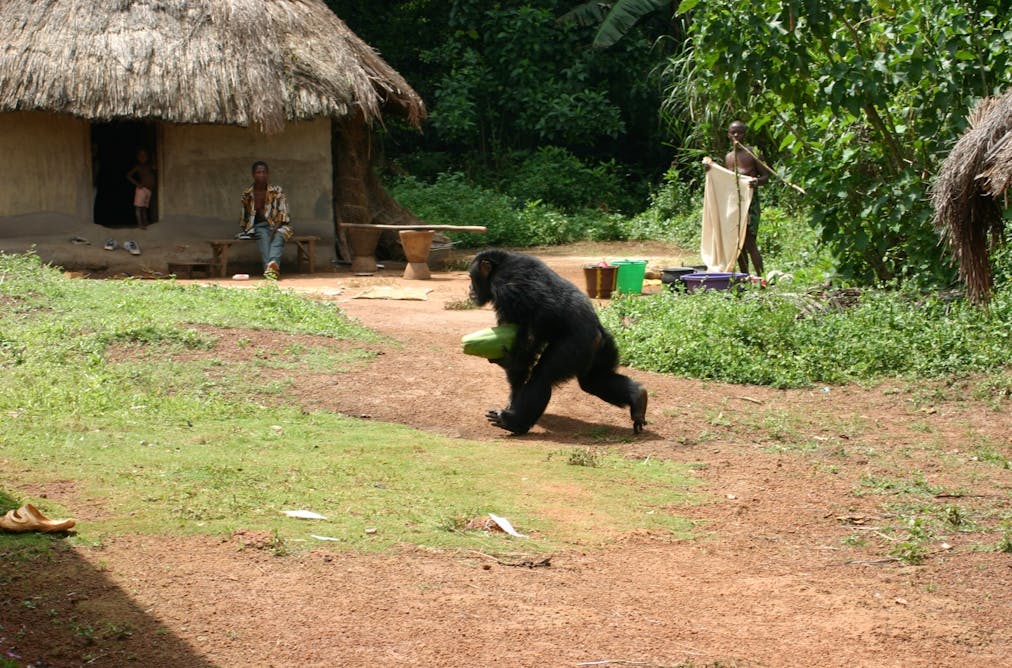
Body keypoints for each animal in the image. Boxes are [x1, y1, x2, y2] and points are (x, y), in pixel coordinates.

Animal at [467, 248, 647, 433]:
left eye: (471, 277)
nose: (469, 288)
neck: (498, 267)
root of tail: (597, 333)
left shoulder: (507, 288)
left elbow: (531, 328)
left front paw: (510, 362)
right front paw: (513, 397)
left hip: (574, 348)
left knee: (542, 377)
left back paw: (512, 422)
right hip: (602, 349)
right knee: (593, 380)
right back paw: (638, 397)